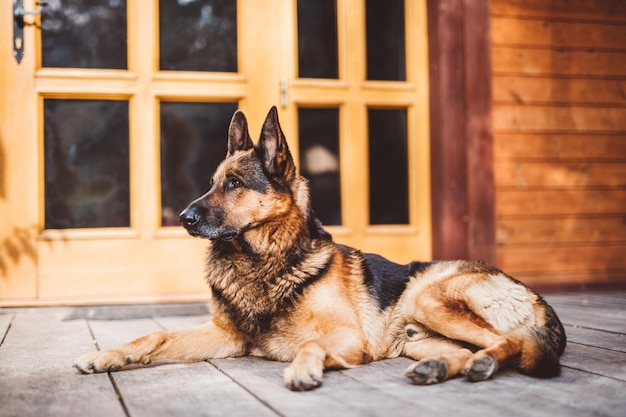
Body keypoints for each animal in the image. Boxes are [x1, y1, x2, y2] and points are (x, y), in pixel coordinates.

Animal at [74, 105, 564, 388]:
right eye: (213, 182)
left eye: (234, 184)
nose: (183, 219)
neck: (263, 261)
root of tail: (538, 300)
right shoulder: (226, 336)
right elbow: (154, 334)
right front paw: (107, 355)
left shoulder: (345, 337)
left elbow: (310, 344)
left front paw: (303, 368)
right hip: (418, 338)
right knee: (465, 351)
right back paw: (439, 369)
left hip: (430, 298)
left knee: (508, 342)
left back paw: (484, 364)